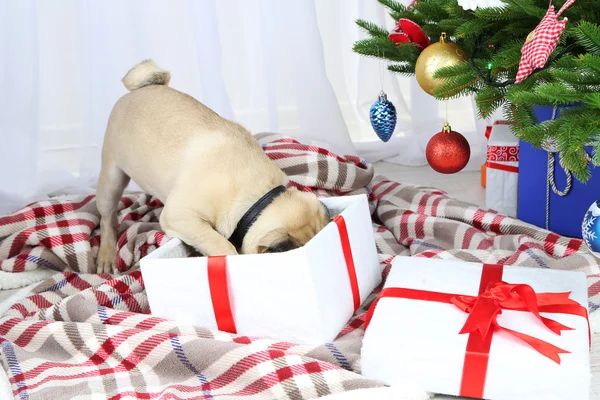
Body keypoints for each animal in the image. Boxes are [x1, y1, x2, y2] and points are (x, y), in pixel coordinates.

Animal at [99, 59, 332, 274]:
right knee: (107, 217)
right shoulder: (181, 217)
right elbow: (220, 243)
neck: (260, 196)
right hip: (112, 177)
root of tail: (141, 90)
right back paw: (106, 256)